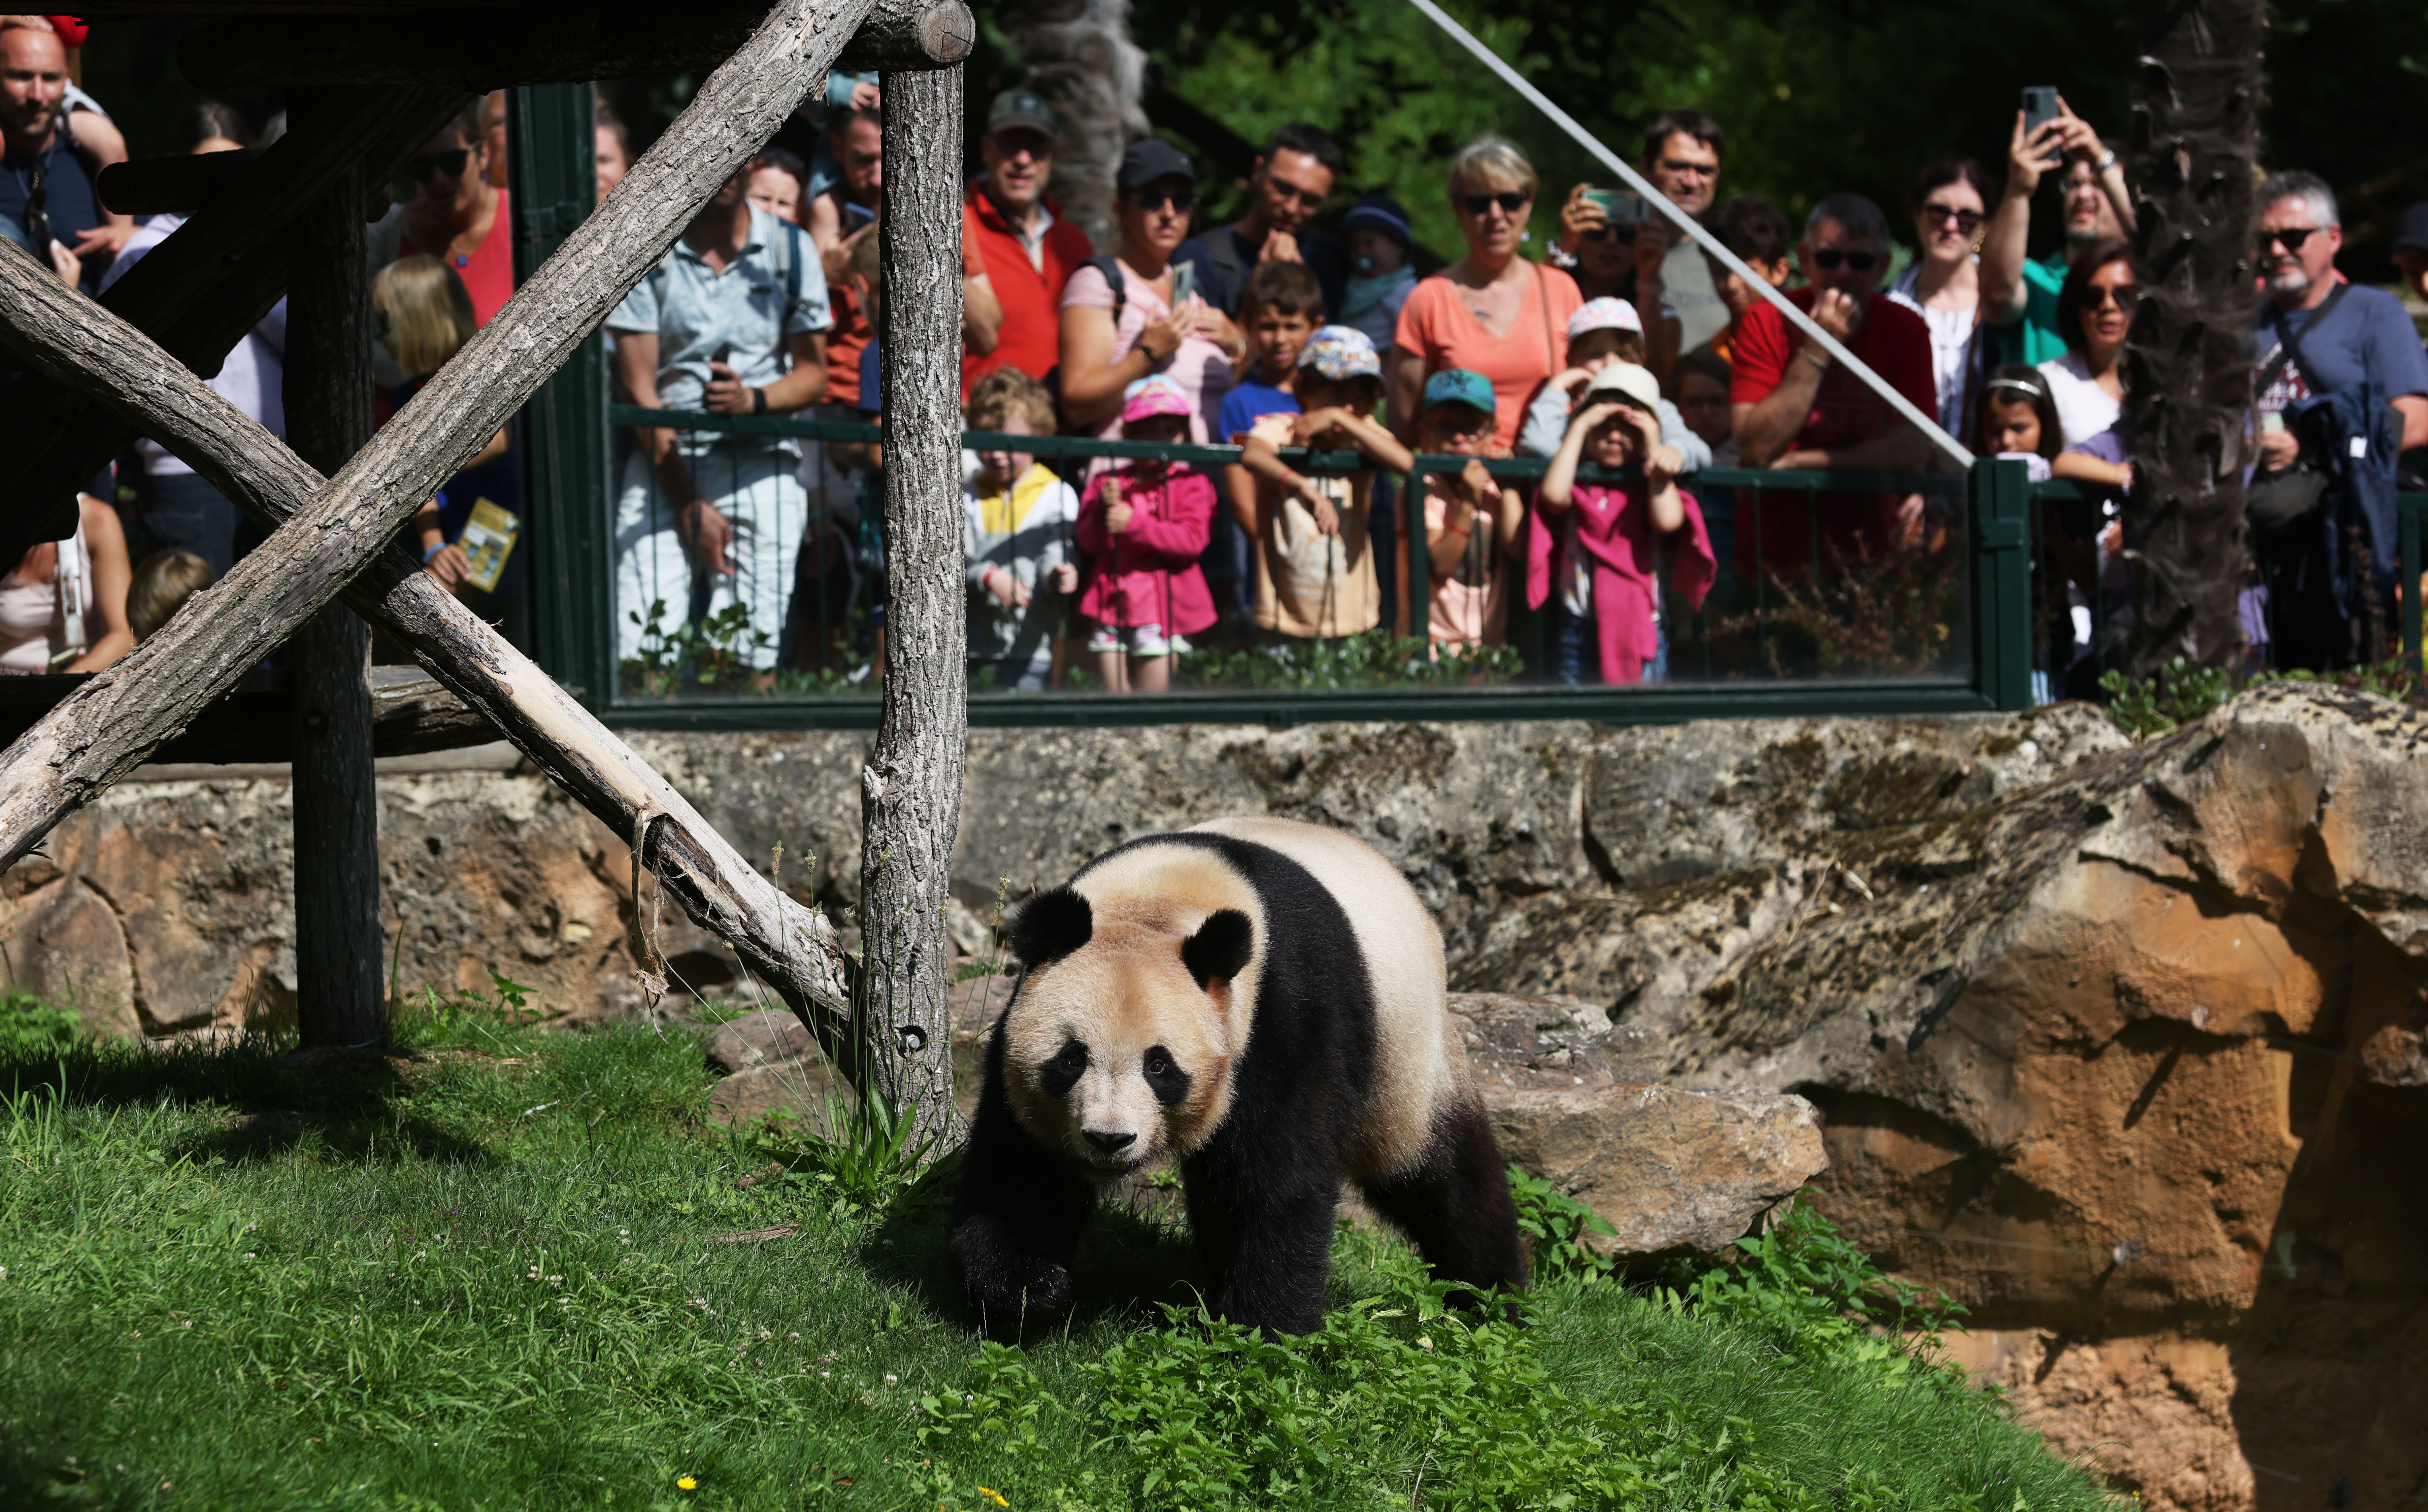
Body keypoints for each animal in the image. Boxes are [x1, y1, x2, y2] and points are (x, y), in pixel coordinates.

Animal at [947, 815, 1515, 1340]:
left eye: (1159, 1065)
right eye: (1070, 1059)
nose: (1109, 1139)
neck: (1158, 899)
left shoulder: (1281, 1012)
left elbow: (1273, 1179)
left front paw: (1261, 1330)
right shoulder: (1020, 1031)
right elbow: (1020, 1162)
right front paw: (1026, 1287)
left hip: (1404, 1049)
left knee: (1438, 1173)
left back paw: (1490, 1297)